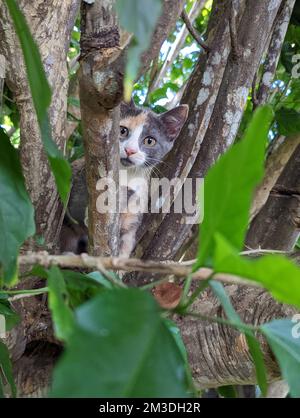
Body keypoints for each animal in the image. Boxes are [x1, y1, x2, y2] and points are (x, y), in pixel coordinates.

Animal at [59, 101, 189, 256]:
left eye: (149, 141)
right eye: (122, 131)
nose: (130, 150)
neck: (126, 174)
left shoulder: (135, 212)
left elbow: (127, 241)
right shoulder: (81, 176)